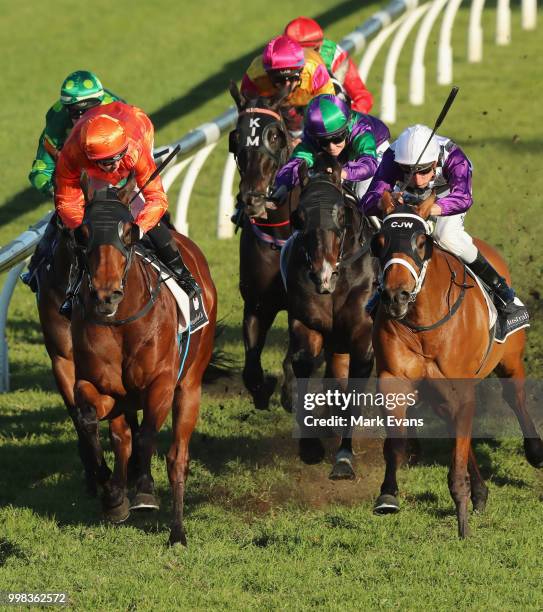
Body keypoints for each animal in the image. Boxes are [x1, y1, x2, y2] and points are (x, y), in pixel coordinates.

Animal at [65, 177, 215, 544]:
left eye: (128, 232)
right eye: (83, 234)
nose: (106, 295)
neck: (122, 322)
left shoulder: (161, 384)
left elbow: (148, 436)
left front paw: (145, 492)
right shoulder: (97, 386)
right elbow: (89, 421)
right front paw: (113, 496)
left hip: (190, 385)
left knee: (177, 456)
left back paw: (177, 531)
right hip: (125, 400)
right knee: (122, 438)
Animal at [282, 155, 376, 480]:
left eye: (341, 213)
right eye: (298, 216)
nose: (322, 275)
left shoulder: (363, 334)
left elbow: (355, 390)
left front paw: (344, 458)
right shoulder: (307, 323)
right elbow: (302, 363)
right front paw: (310, 446)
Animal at [372, 196, 540, 536]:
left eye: (421, 242)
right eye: (379, 242)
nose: (396, 296)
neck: (424, 323)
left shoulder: (461, 389)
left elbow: (458, 456)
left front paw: (462, 516)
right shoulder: (394, 380)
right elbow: (395, 444)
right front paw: (388, 495)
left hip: (509, 360)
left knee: (515, 398)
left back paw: (534, 452)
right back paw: (480, 492)